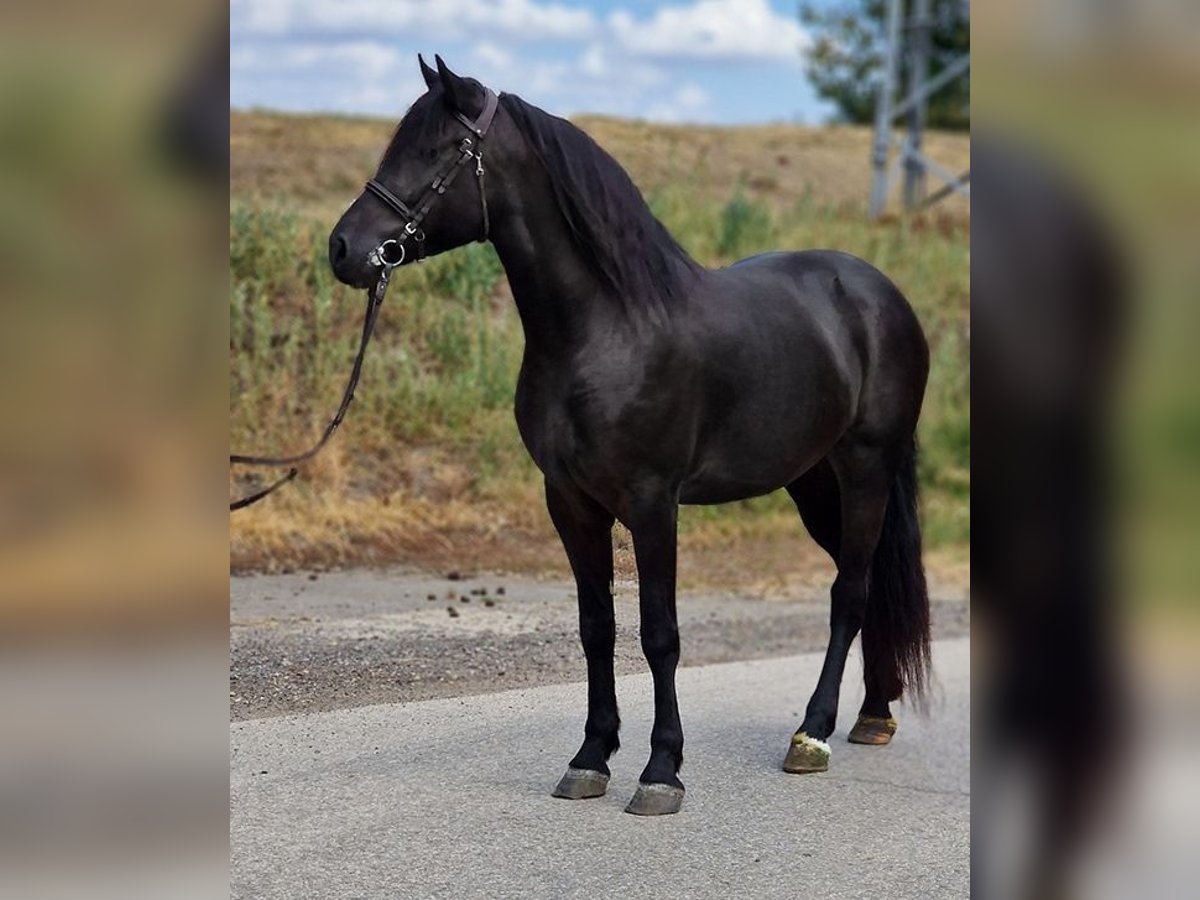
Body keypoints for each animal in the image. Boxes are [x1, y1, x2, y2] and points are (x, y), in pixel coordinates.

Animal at [331, 56, 936, 816]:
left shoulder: (652, 503)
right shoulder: (570, 502)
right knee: (871, 583)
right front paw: (591, 758)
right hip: (813, 483)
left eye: (440, 149)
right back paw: (874, 715)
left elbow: (659, 633)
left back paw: (814, 734)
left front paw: (661, 770)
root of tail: (881, 295)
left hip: (865, 469)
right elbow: (598, 629)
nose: (344, 249)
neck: (607, 329)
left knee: (850, 591)